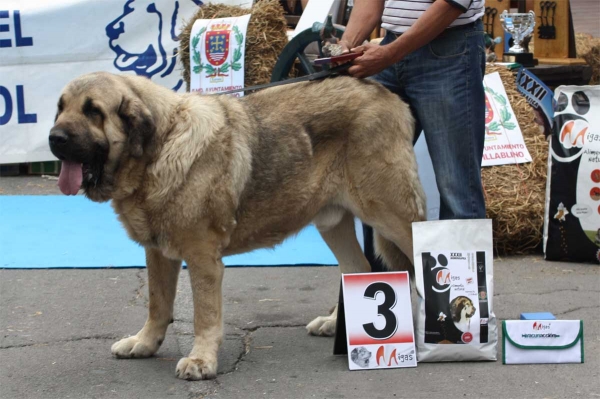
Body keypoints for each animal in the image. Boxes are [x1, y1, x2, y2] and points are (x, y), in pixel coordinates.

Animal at [48, 72, 426, 382]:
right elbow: (158, 304)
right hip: (331, 220)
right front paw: (144, 343)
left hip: (391, 214)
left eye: (93, 111)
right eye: (61, 108)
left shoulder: (202, 259)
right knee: (357, 267)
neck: (160, 147)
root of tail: (387, 94)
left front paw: (201, 360)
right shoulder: (158, 253)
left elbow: (204, 314)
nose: (54, 138)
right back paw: (335, 324)